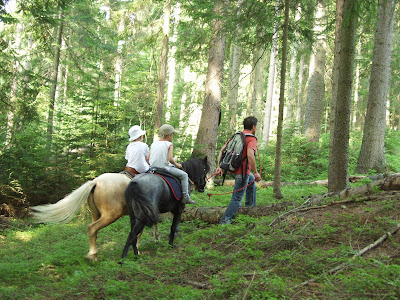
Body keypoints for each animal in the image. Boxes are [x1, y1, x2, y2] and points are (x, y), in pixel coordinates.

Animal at [30, 156, 209, 262]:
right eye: (205, 168)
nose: (203, 186)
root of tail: (95, 182)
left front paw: (150, 241)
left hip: (95, 213)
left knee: (93, 231)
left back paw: (93, 253)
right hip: (111, 215)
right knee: (92, 228)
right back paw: (93, 256)